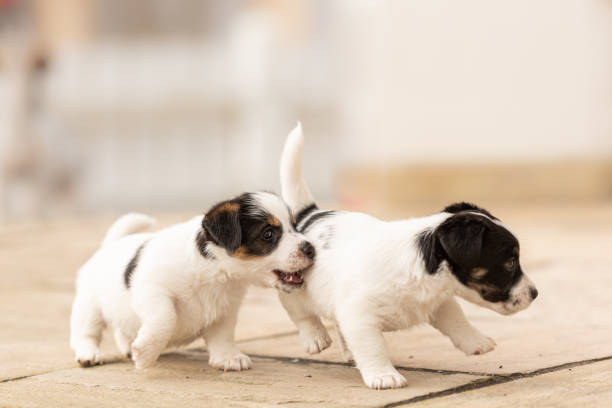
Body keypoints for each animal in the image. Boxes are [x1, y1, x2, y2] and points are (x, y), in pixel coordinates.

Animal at [69, 191, 314, 370]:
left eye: (295, 226)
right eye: (268, 234)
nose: (311, 249)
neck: (215, 271)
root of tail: (109, 245)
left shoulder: (225, 311)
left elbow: (223, 336)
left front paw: (227, 357)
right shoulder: (153, 291)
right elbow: (165, 318)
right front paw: (147, 353)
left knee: (121, 330)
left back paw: (127, 346)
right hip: (89, 307)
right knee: (86, 332)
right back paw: (89, 354)